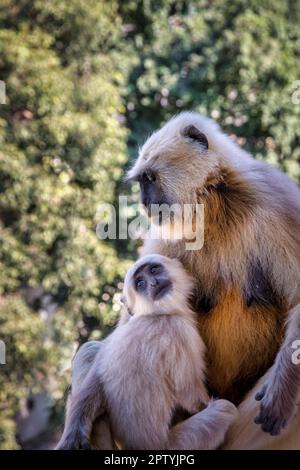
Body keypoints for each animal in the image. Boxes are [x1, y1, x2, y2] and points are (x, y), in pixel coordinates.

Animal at [56, 255, 237, 450]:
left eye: (153, 270)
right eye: (141, 284)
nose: (153, 283)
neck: (155, 315)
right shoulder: (178, 329)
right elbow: (190, 395)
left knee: (89, 349)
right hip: (179, 442)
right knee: (224, 408)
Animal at [127, 112, 300, 438]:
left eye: (149, 179)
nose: (144, 202)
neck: (213, 204)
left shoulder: (275, 201)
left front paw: (282, 389)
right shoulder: (168, 235)